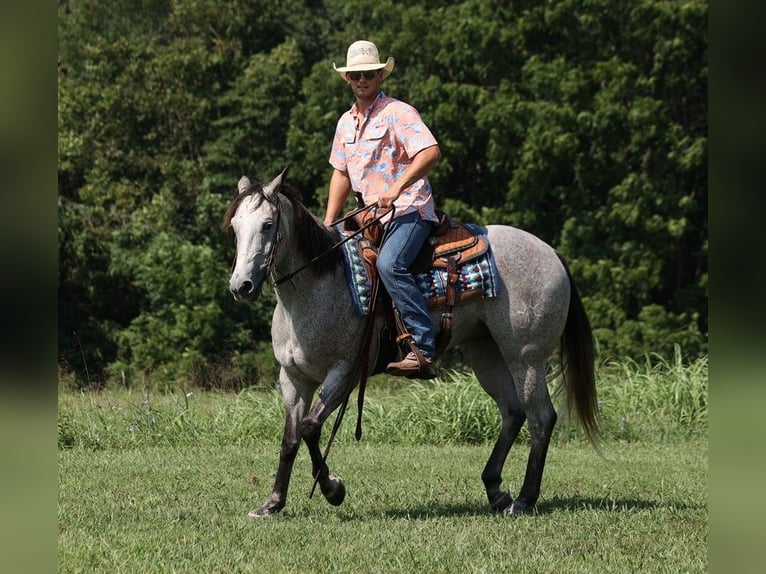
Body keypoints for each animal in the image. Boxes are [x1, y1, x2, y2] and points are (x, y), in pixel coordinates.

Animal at [222, 169, 600, 520]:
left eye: (268, 225)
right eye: (236, 228)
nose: (241, 286)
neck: (316, 287)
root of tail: (551, 251)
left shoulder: (344, 373)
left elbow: (311, 428)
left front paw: (333, 490)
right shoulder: (293, 379)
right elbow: (290, 438)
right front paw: (272, 503)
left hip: (526, 356)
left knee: (541, 417)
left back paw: (523, 499)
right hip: (485, 351)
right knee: (512, 412)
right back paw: (496, 491)